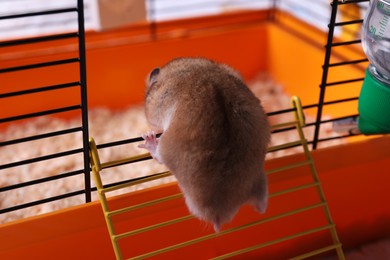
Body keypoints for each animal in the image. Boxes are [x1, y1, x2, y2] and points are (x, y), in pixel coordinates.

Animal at [139, 57, 270, 232]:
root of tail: (222, 211)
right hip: (259, 179)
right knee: (262, 205)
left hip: (166, 148)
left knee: (158, 156)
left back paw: (148, 139)